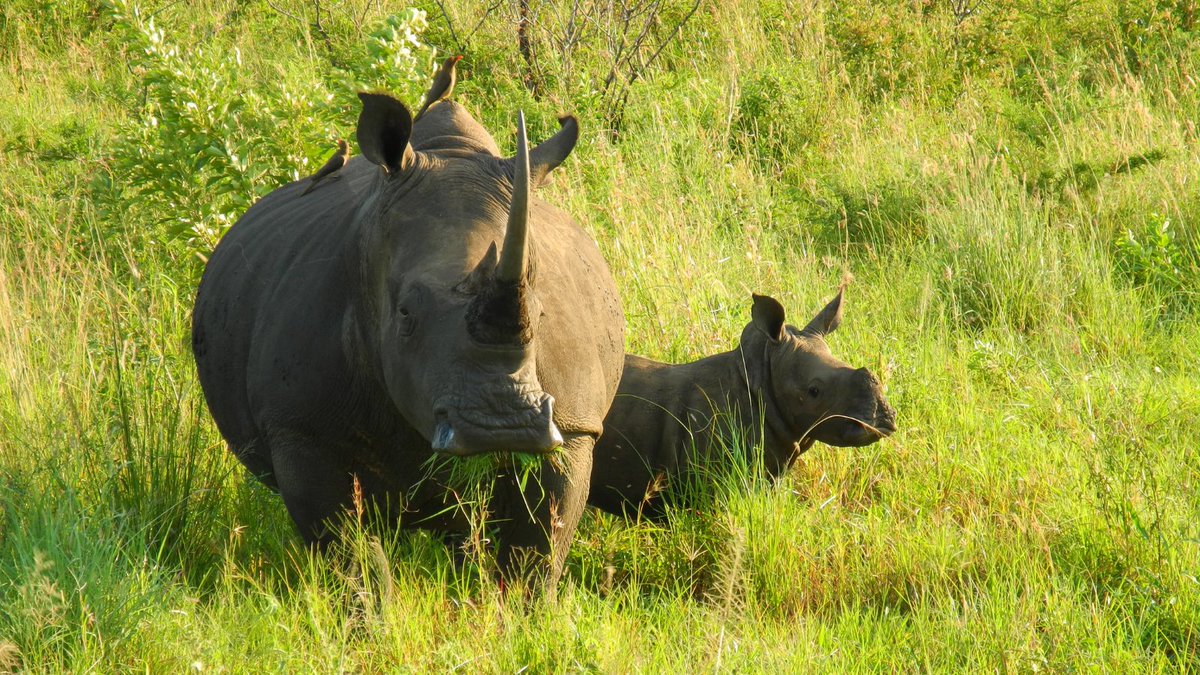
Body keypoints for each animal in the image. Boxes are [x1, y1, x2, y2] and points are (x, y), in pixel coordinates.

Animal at [192, 88, 623, 582]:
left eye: (542, 311)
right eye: (404, 315)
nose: (501, 426)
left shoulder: (573, 425)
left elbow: (539, 548)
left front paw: (519, 602)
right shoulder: (300, 429)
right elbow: (349, 555)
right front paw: (366, 605)